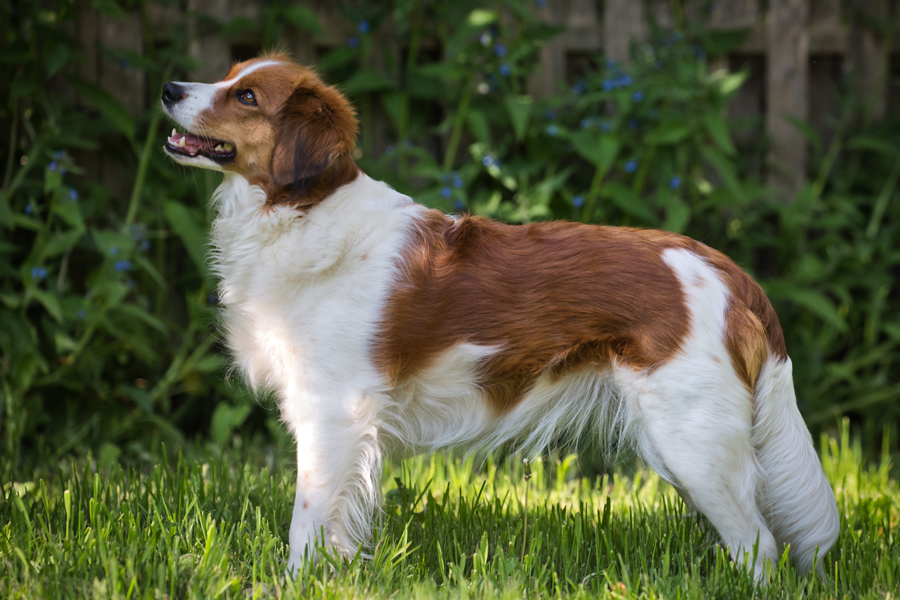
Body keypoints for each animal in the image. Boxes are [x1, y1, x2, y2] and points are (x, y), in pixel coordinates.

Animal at [160, 54, 836, 580]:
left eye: (246, 96)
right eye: (228, 74)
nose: (167, 88)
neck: (298, 211)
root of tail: (728, 271)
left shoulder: (332, 411)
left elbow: (307, 520)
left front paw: (296, 582)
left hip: (693, 442)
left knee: (759, 547)